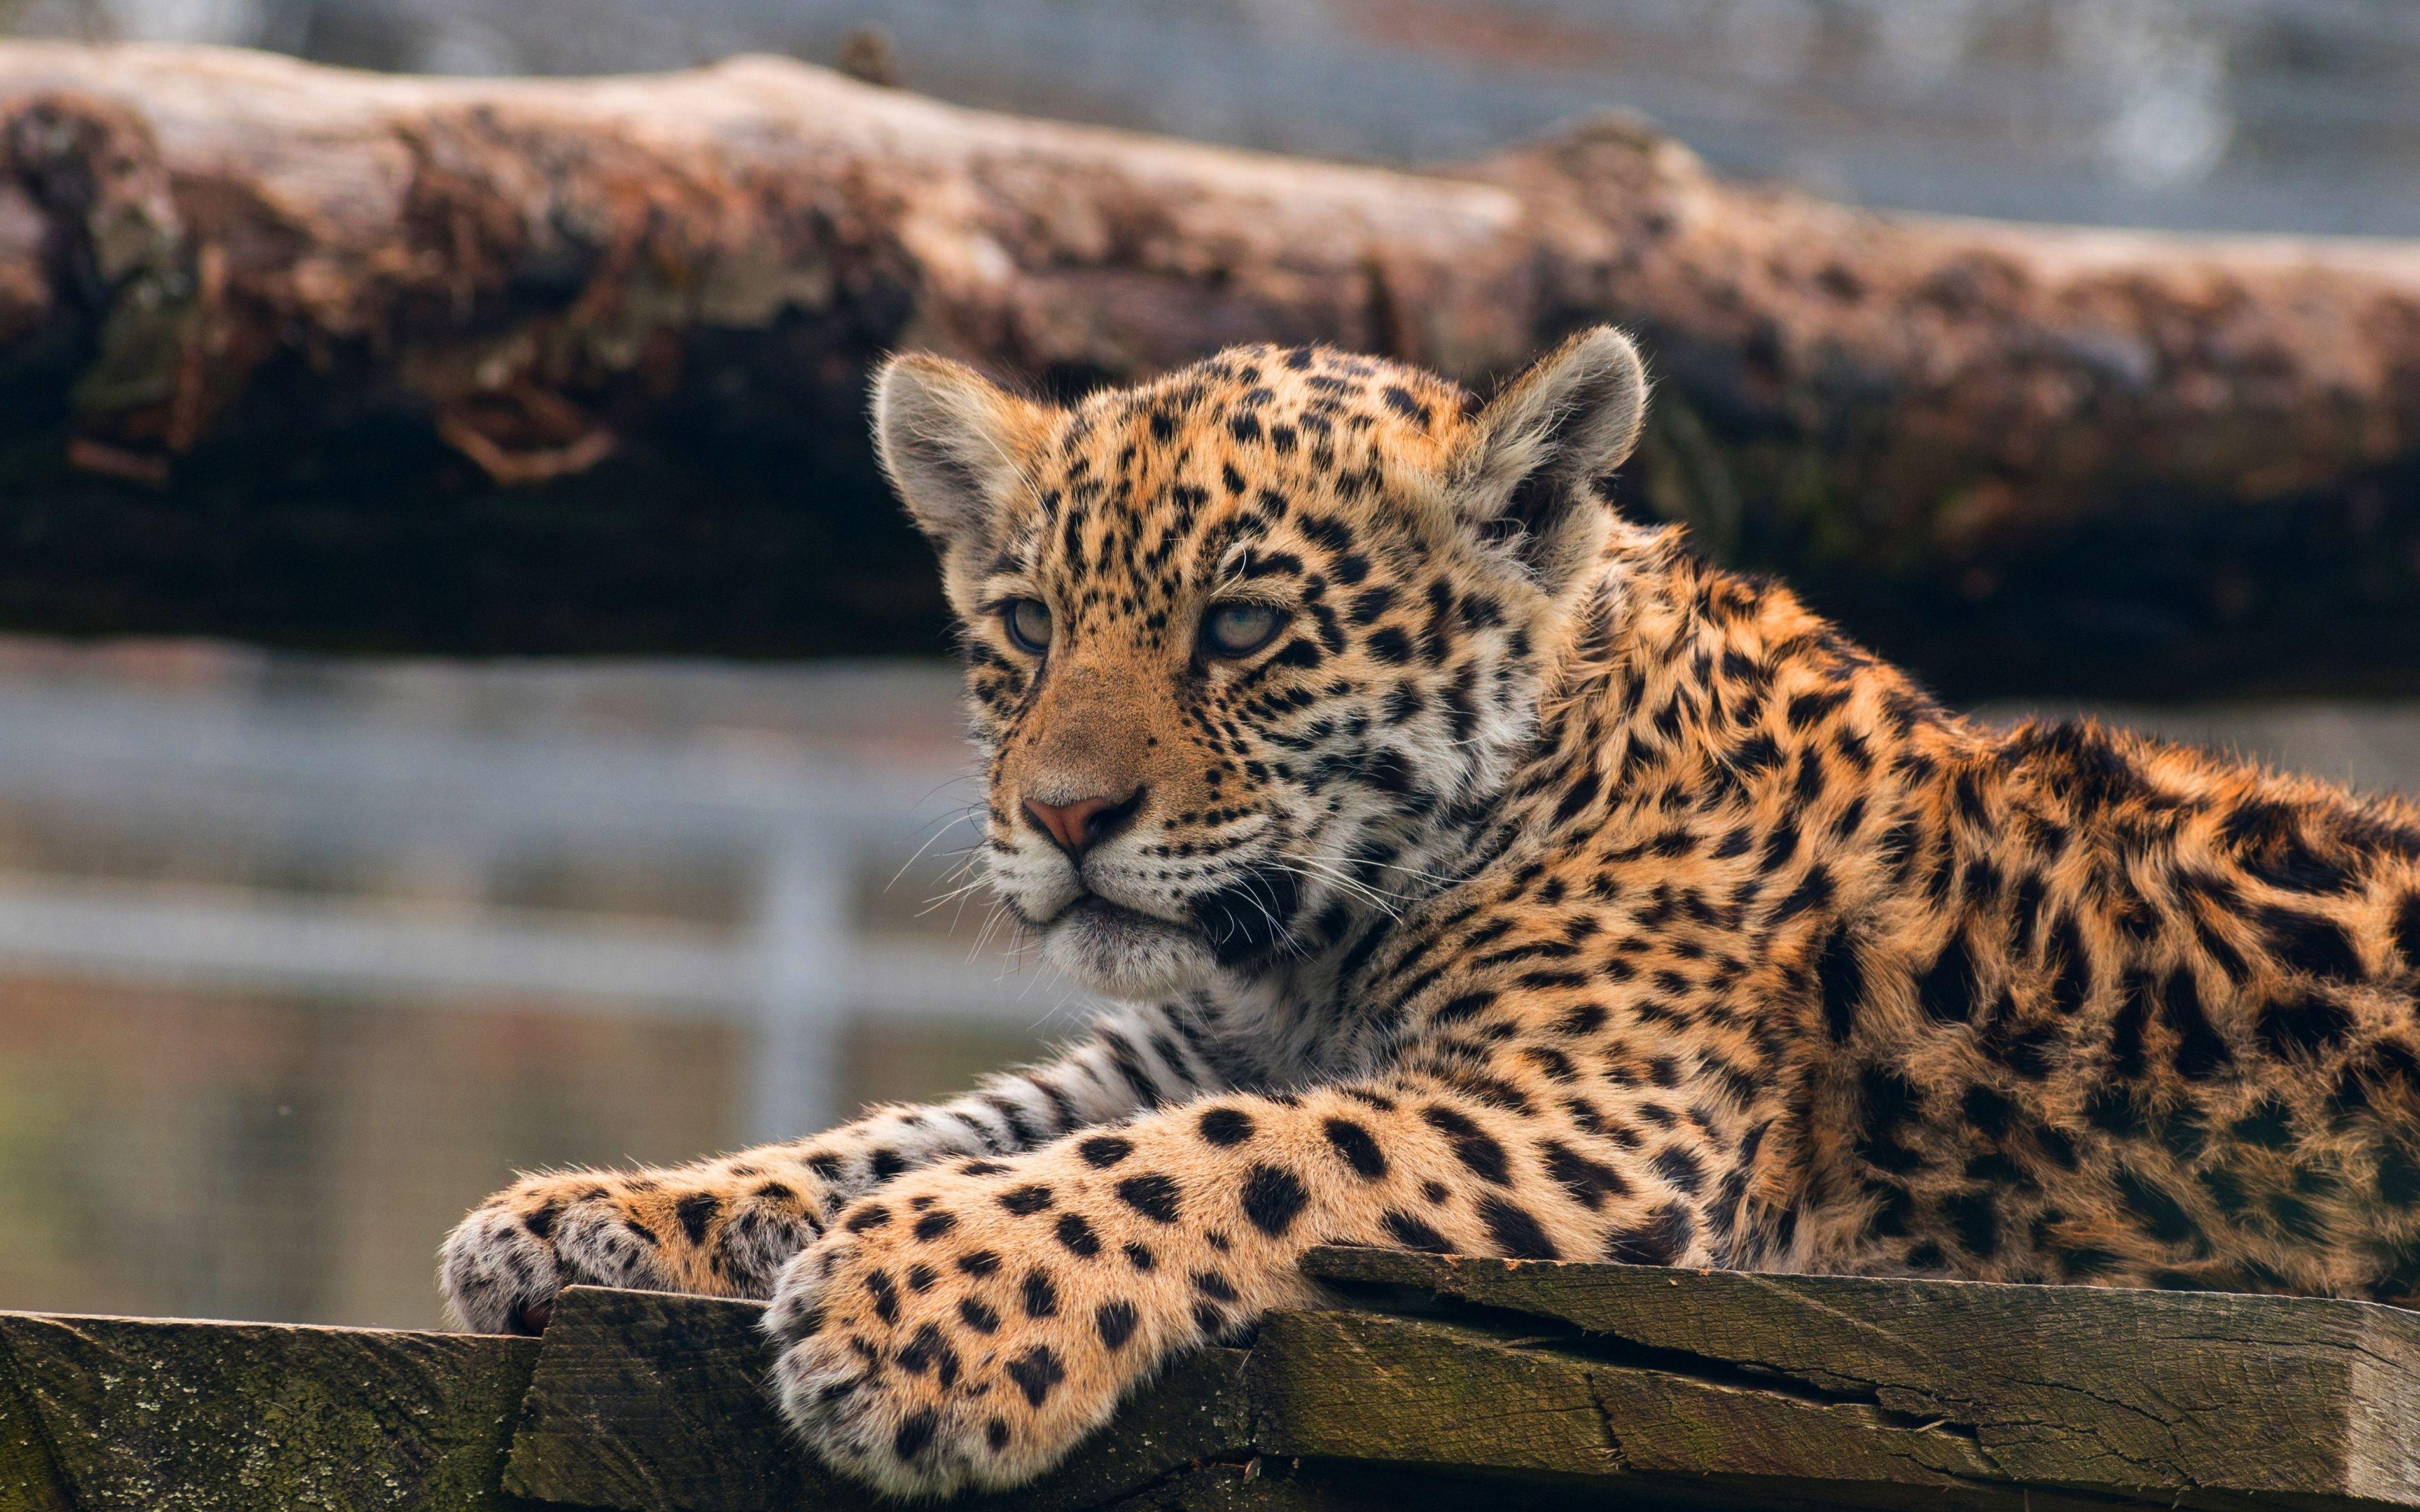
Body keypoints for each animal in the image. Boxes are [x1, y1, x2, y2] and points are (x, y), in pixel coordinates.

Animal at [441, 327, 2420, 1499]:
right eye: (1025, 630)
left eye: (1241, 627)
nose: (1062, 817)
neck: (1304, 949)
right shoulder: (1159, 1050)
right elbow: (917, 1130)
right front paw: (586, 1218)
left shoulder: (1604, 1121)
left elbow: (1226, 1160)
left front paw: (917, 1310)